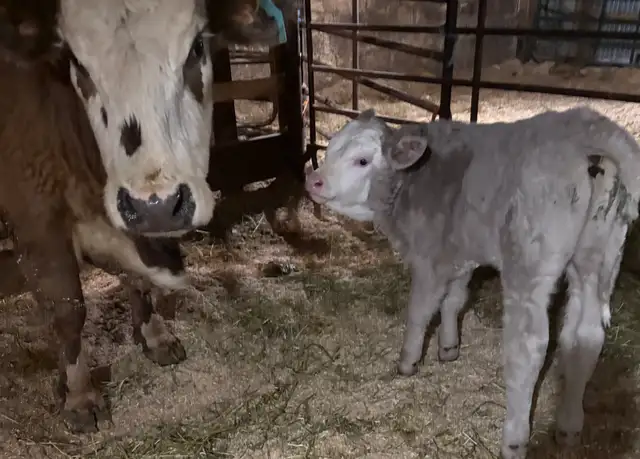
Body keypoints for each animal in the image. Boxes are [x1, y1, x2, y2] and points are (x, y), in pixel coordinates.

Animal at [0, 0, 287, 433]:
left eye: (197, 48)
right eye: (78, 65)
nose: (156, 204)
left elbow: (139, 281)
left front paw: (154, 336)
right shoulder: (37, 219)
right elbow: (68, 310)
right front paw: (79, 395)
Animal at [304, 107, 640, 459]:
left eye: (362, 161)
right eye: (330, 148)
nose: (313, 180)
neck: (416, 181)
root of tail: (586, 127)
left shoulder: (429, 259)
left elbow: (421, 310)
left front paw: (408, 361)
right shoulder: (460, 253)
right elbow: (454, 300)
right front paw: (449, 346)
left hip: (529, 269)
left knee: (529, 347)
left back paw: (514, 438)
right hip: (597, 258)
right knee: (585, 336)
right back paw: (570, 422)